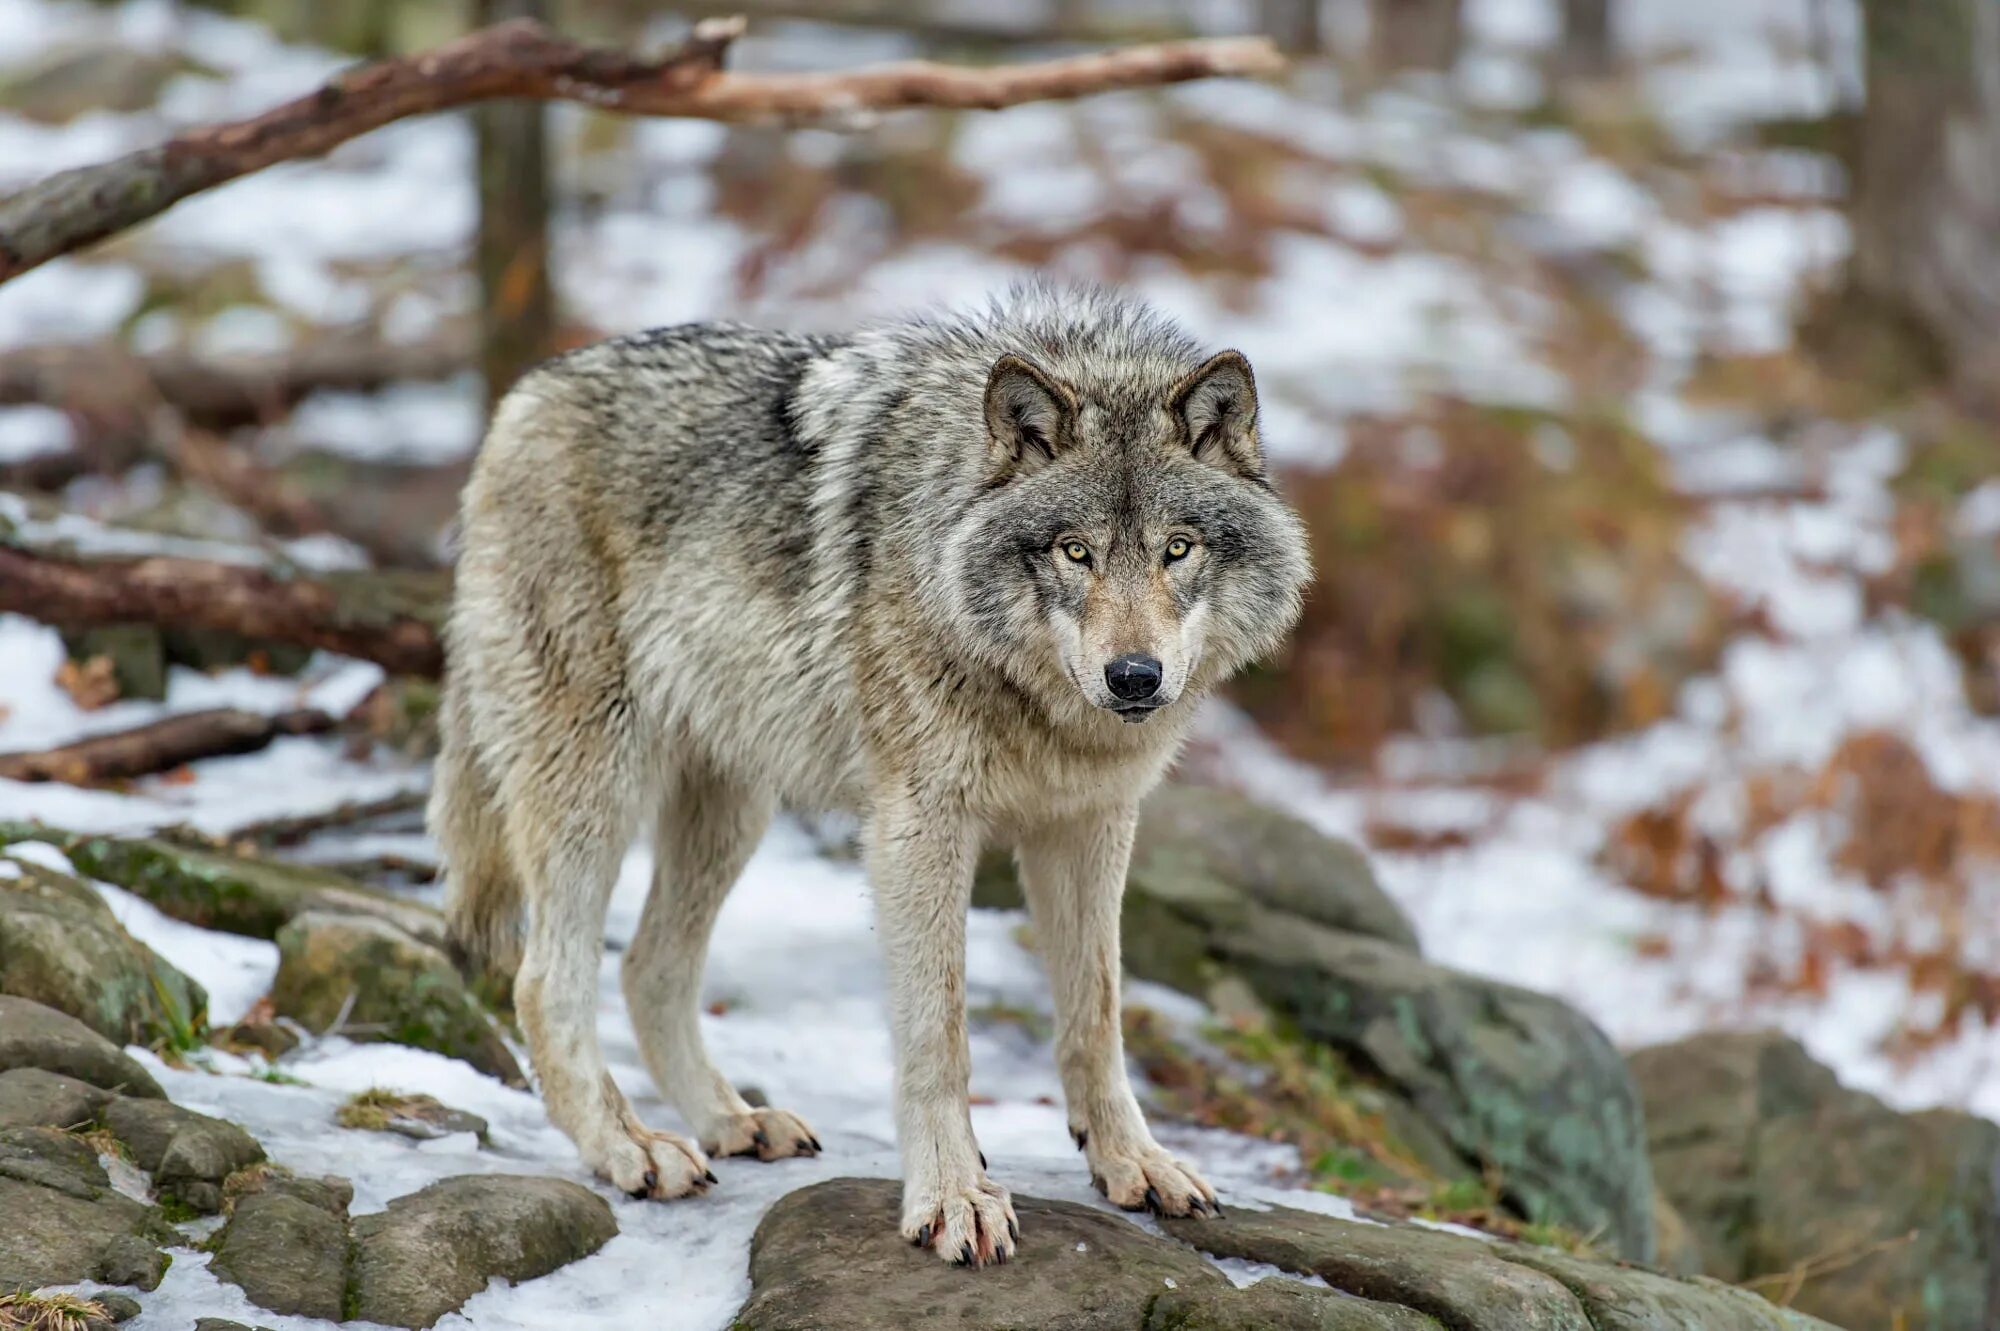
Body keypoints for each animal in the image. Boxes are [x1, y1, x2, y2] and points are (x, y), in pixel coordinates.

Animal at [428, 281, 1312, 1263]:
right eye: (1074, 550)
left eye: (1177, 548)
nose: (1135, 677)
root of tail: (525, 394)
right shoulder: (918, 826)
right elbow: (939, 1032)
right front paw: (954, 1195)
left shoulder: (1090, 824)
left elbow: (1097, 1014)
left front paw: (1133, 1160)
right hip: (598, 786)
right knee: (545, 981)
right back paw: (631, 1146)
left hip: (733, 807)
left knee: (650, 968)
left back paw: (730, 1120)